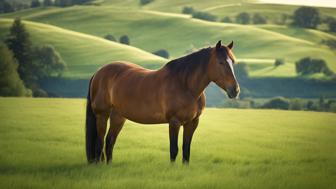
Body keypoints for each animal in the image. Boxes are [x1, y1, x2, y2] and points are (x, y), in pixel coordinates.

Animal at [85, 40, 240, 164]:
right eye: (221, 62)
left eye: (233, 62)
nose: (235, 90)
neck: (185, 85)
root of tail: (99, 72)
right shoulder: (174, 122)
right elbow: (174, 150)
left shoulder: (192, 123)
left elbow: (186, 150)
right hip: (102, 115)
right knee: (99, 144)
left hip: (118, 117)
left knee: (109, 142)